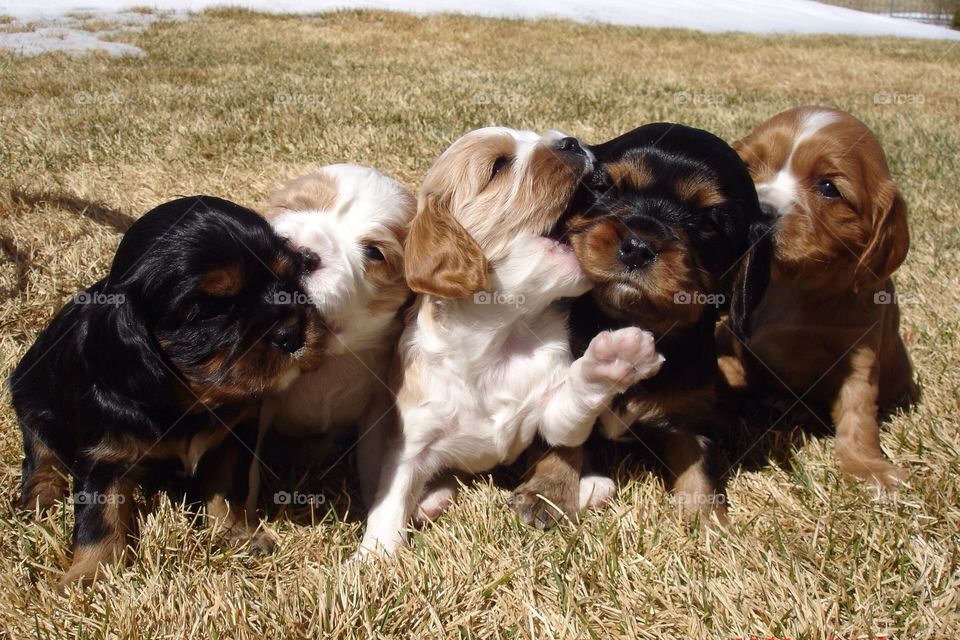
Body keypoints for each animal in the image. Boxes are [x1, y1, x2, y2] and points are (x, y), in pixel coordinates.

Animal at [10, 195, 326, 584]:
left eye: (287, 278)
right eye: (208, 311)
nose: (292, 333)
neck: (190, 400)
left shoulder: (234, 435)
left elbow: (228, 488)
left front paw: (237, 534)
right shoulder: (103, 453)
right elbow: (100, 516)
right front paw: (89, 576)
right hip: (32, 398)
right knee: (40, 455)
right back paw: (40, 498)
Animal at [255, 165, 416, 510]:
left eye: (374, 253)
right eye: (290, 207)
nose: (299, 253)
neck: (329, 359)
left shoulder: (377, 411)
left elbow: (373, 464)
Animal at [356, 127, 664, 556]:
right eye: (499, 166)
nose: (571, 140)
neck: (501, 333)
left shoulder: (547, 417)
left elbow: (569, 407)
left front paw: (614, 362)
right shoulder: (409, 438)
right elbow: (390, 497)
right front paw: (373, 556)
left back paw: (590, 486)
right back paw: (430, 499)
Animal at [510, 122, 772, 528]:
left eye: (708, 222)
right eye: (606, 187)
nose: (637, 247)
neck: (628, 320)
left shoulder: (692, 414)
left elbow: (701, 466)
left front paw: (708, 521)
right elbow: (560, 441)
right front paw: (545, 494)